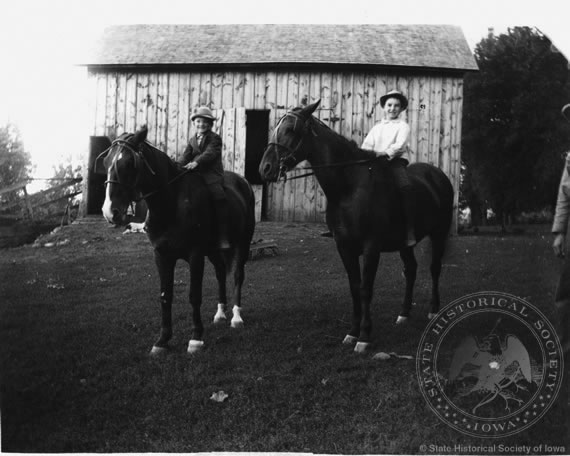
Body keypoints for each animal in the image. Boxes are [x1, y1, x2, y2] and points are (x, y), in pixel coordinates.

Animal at [98, 126, 254, 354]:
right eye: (106, 162)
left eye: (128, 163)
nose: (110, 212)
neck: (171, 202)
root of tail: (243, 183)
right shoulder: (162, 255)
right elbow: (165, 296)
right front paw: (162, 340)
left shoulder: (195, 255)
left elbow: (194, 295)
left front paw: (196, 338)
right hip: (214, 251)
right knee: (220, 273)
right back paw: (220, 314)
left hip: (242, 244)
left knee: (236, 275)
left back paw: (236, 317)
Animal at [258, 100, 452, 352]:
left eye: (291, 129)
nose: (265, 168)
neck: (349, 188)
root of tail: (439, 175)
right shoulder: (344, 247)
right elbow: (354, 288)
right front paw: (352, 332)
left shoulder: (371, 247)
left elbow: (365, 289)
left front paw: (364, 337)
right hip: (405, 244)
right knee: (411, 269)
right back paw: (404, 314)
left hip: (439, 233)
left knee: (434, 268)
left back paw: (433, 310)